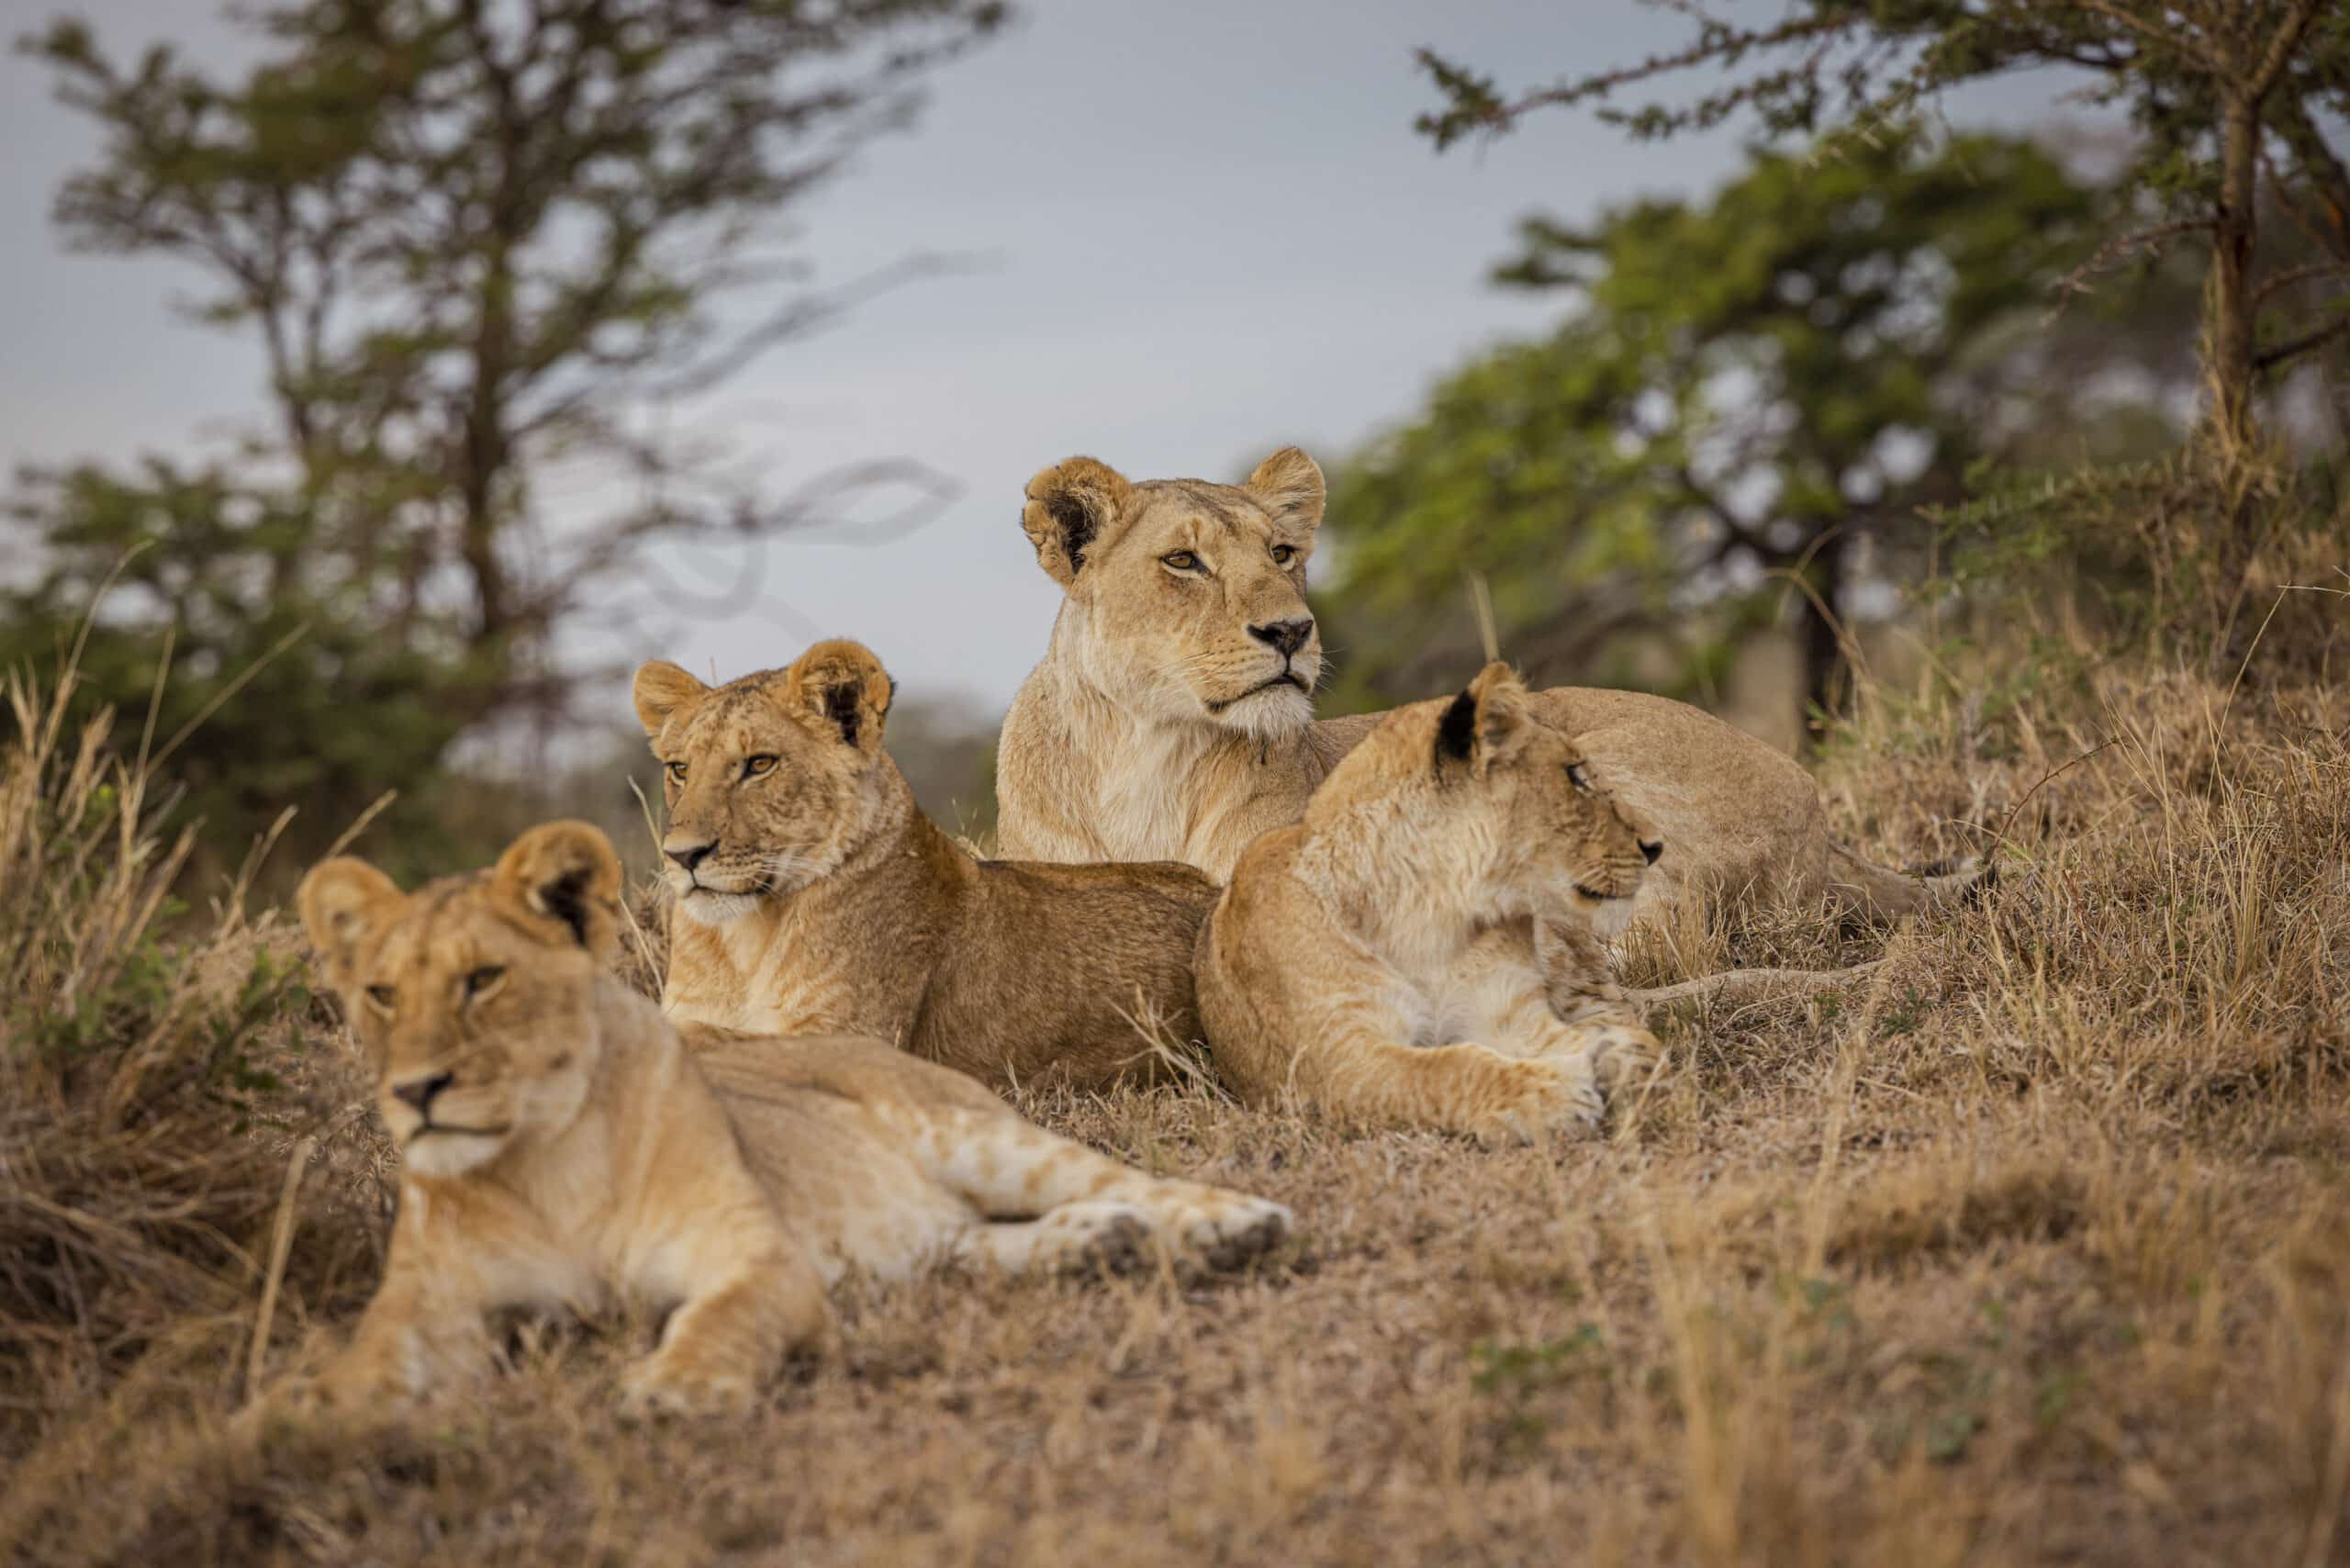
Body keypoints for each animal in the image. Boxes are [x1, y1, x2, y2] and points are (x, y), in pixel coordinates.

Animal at [274, 823, 1297, 1419]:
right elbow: (339, 1388)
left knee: (1133, 1182)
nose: (417, 1089)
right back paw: (1094, 1244)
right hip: (908, 1238)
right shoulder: (424, 1312)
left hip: (977, 1132)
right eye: (379, 994)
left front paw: (676, 1389)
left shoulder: (756, 1256)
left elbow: (719, 1319)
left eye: (485, 980)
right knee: (967, 1240)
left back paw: (1235, 1228)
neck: (541, 1159)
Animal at [634, 639, 1222, 1091]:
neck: (745, 938)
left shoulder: (860, 1042)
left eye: (760, 764)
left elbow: (698, 1041)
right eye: (680, 769)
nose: (681, 855)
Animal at [1193, 663, 1673, 1142]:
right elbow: (1447, 1069)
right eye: (1574, 776)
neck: (1432, 917)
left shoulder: (1509, 1013)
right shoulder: (1335, 1062)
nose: (1654, 847)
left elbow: (1585, 1038)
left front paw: (1625, 1062)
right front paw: (1551, 1095)